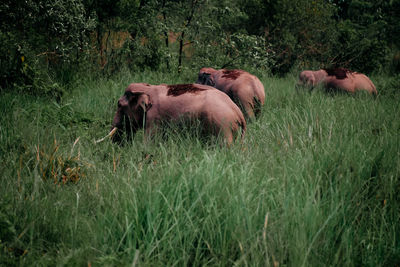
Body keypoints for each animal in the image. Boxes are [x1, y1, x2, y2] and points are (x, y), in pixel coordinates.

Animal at [98, 82, 245, 146]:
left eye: (119, 105)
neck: (148, 88)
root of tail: (238, 113)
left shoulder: (154, 117)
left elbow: (150, 142)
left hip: (223, 125)